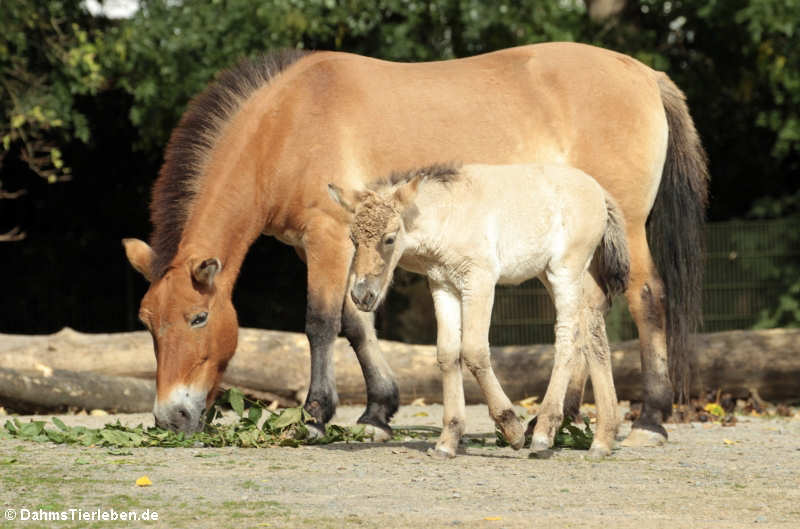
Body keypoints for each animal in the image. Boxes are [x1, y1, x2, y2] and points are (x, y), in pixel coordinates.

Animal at [123, 43, 708, 444]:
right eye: (148, 323)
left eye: (198, 318)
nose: (170, 416)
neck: (287, 125)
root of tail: (645, 75)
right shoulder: (335, 247)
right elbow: (356, 322)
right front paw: (377, 412)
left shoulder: (327, 238)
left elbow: (321, 323)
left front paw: (315, 416)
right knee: (590, 309)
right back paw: (560, 418)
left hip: (625, 229)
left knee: (645, 299)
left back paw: (650, 420)